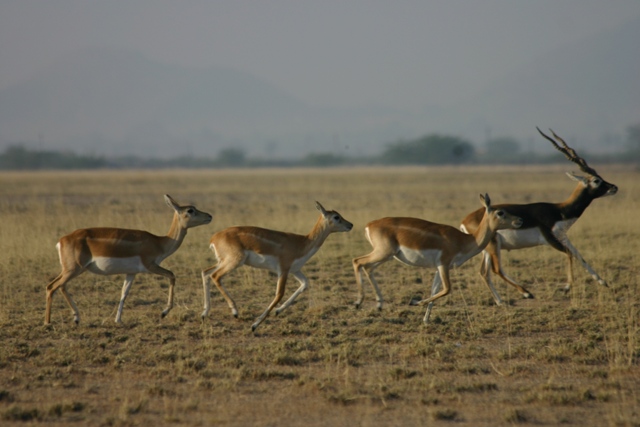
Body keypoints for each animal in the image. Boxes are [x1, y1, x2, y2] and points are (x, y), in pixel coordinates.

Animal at [43, 194, 212, 324]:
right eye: (190, 210)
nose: (209, 216)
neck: (159, 242)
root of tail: (62, 240)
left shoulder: (131, 273)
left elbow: (123, 294)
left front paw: (118, 320)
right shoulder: (150, 266)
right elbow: (172, 275)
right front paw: (164, 312)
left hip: (71, 269)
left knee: (57, 286)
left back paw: (76, 318)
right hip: (74, 269)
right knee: (53, 287)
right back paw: (49, 322)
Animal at [201, 202, 352, 332]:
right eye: (336, 217)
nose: (350, 225)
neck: (302, 243)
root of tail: (214, 238)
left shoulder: (295, 270)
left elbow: (305, 284)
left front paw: (277, 311)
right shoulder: (283, 270)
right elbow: (279, 294)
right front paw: (254, 325)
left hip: (223, 261)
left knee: (206, 272)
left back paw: (204, 313)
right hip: (234, 261)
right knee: (215, 276)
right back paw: (235, 312)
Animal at [352, 194, 524, 324]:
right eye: (500, 212)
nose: (520, 220)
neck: (464, 240)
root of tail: (369, 224)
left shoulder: (437, 268)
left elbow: (435, 290)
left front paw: (426, 320)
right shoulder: (443, 265)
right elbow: (447, 289)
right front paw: (415, 302)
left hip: (386, 256)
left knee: (367, 267)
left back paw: (378, 304)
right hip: (383, 253)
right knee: (357, 262)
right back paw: (358, 302)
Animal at [460, 129, 620, 302]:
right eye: (596, 180)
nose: (614, 187)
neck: (559, 211)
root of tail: (464, 221)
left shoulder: (563, 237)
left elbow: (579, 255)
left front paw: (603, 282)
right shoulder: (550, 239)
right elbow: (570, 254)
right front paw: (566, 287)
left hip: (485, 248)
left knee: (484, 272)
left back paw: (500, 301)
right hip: (492, 245)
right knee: (496, 270)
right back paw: (526, 293)